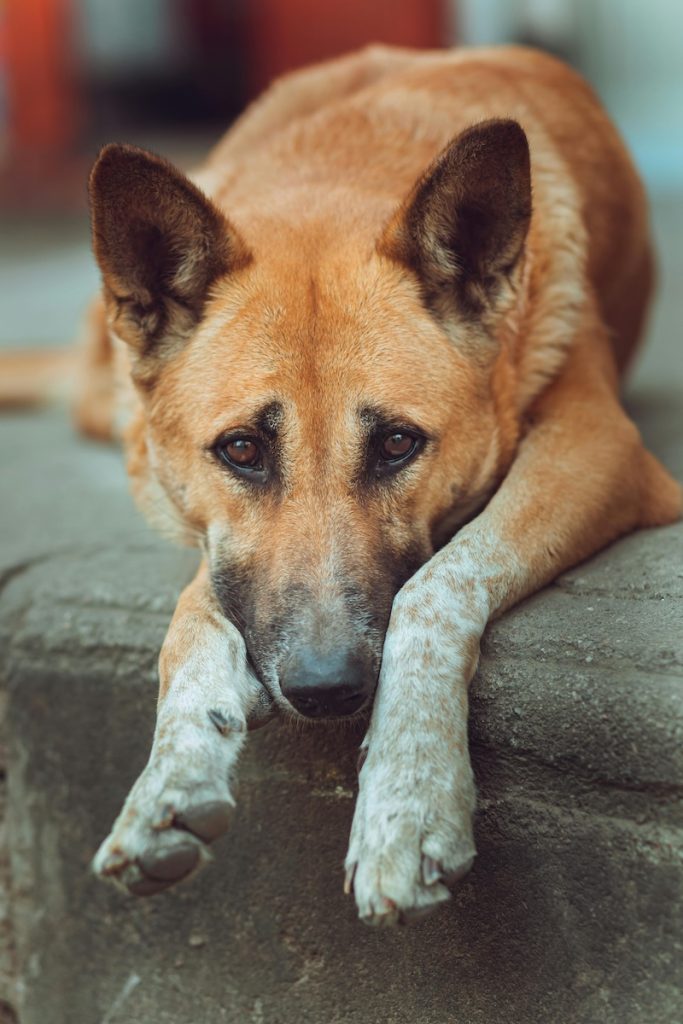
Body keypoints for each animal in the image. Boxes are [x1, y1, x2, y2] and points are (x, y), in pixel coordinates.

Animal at [46, 46, 679, 929]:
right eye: (241, 450)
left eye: (397, 445)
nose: (324, 690)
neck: (336, 170)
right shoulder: (223, 546)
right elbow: (194, 615)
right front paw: (170, 775)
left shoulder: (596, 444)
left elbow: (434, 587)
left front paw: (408, 800)